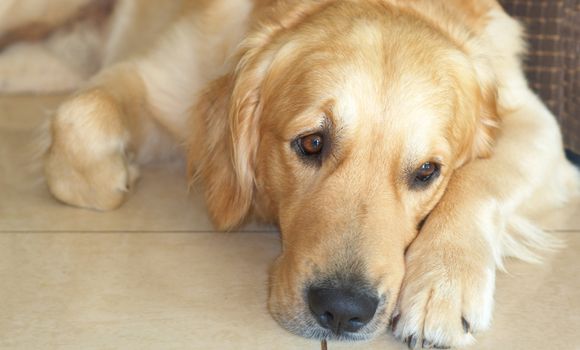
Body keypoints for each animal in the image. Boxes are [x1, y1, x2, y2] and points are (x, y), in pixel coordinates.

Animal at [15, 0, 576, 348]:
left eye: (426, 172)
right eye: (311, 143)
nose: (343, 312)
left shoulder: (540, 125)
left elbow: (480, 179)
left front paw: (443, 284)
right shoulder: (158, 77)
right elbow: (78, 121)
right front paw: (121, 171)